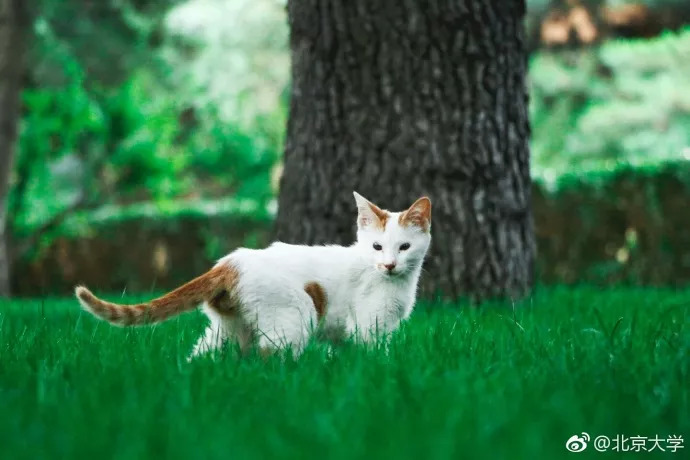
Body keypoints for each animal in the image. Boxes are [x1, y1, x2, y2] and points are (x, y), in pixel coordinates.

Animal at [75, 191, 430, 360]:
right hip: (294, 319)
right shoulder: (370, 327)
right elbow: (375, 358)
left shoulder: (347, 335)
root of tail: (229, 262)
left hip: (227, 330)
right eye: (377, 247)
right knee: (267, 360)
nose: (389, 265)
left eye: (404, 247)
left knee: (202, 358)